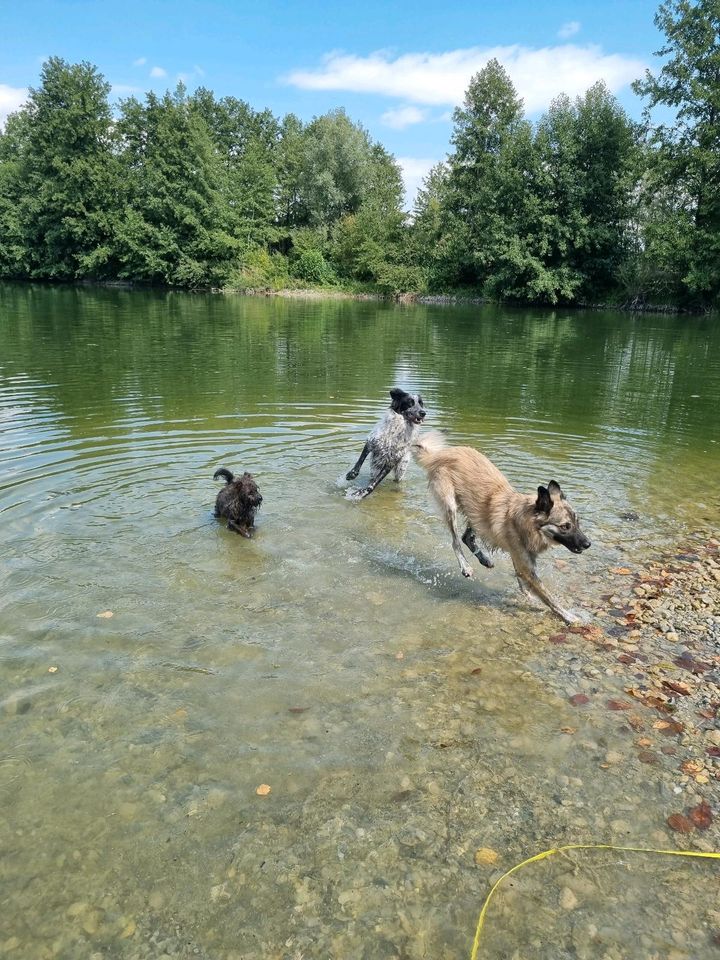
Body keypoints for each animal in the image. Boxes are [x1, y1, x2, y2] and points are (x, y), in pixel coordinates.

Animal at [410, 434, 592, 628]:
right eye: (565, 526)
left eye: (578, 522)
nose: (588, 544)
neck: (524, 521)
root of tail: (441, 454)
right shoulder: (525, 567)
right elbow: (548, 597)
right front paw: (570, 617)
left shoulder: (521, 562)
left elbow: (526, 589)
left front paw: (531, 601)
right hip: (450, 507)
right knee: (455, 541)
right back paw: (465, 566)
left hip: (476, 514)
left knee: (466, 537)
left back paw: (484, 559)